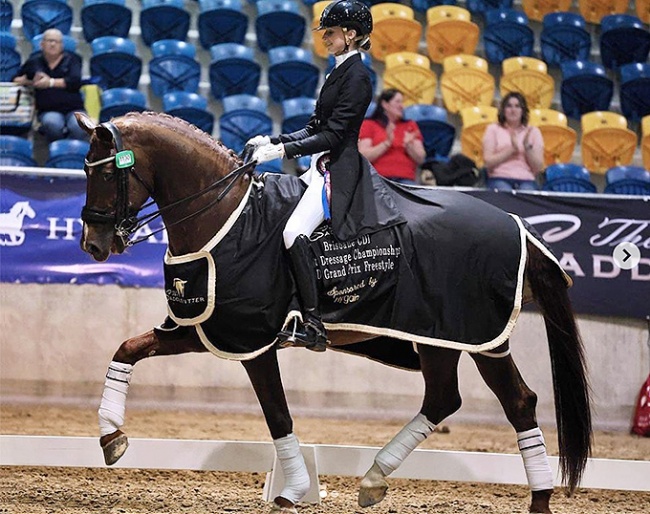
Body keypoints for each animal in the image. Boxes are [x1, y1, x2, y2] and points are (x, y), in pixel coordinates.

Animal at [74, 113, 588, 512]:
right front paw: (111, 438)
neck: (226, 216)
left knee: (507, 402)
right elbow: (127, 348)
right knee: (459, 400)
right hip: (445, 338)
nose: (94, 245)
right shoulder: (203, 328)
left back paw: (533, 498)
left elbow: (277, 415)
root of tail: (516, 222)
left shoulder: (251, 341)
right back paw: (379, 480)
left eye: (107, 173)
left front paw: (292, 491)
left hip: (473, 336)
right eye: (85, 169)